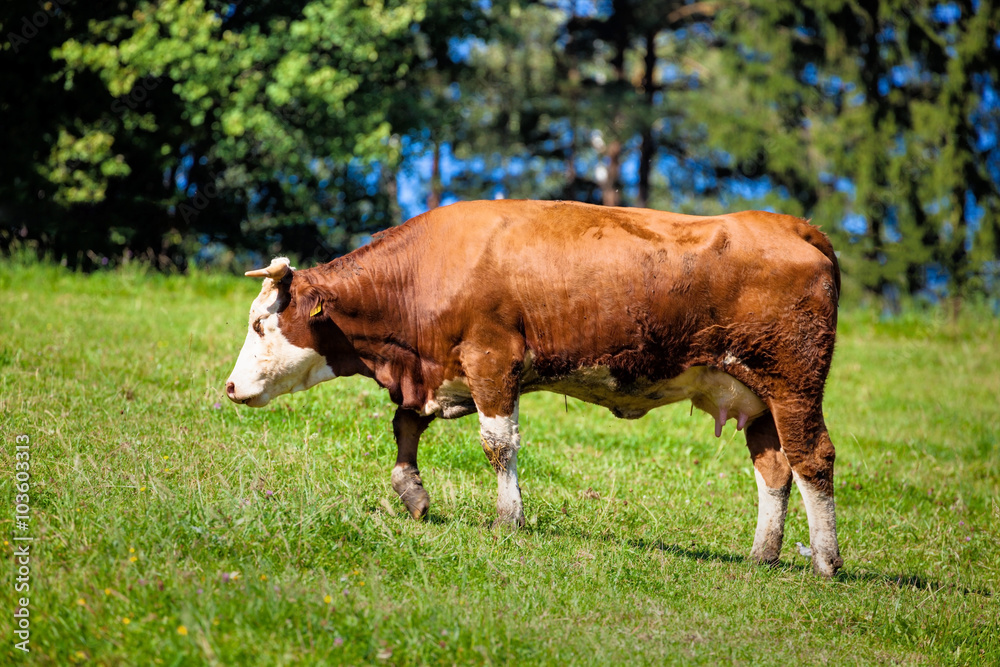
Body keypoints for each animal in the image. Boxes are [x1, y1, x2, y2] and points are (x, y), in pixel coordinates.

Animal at [227, 200, 844, 580]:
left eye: (259, 324)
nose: (230, 386)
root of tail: (789, 224)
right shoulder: (437, 370)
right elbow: (406, 425)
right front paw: (413, 493)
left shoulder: (492, 360)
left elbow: (498, 444)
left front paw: (509, 519)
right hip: (756, 398)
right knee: (775, 468)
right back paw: (763, 555)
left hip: (793, 384)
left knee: (813, 458)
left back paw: (826, 562)